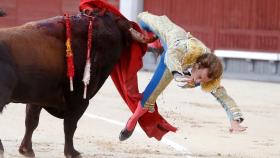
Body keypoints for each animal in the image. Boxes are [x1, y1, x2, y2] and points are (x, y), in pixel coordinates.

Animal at [0, 11, 133, 157]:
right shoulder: (79, 100)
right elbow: (70, 126)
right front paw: (72, 152)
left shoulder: (37, 97)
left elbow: (31, 121)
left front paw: (26, 150)